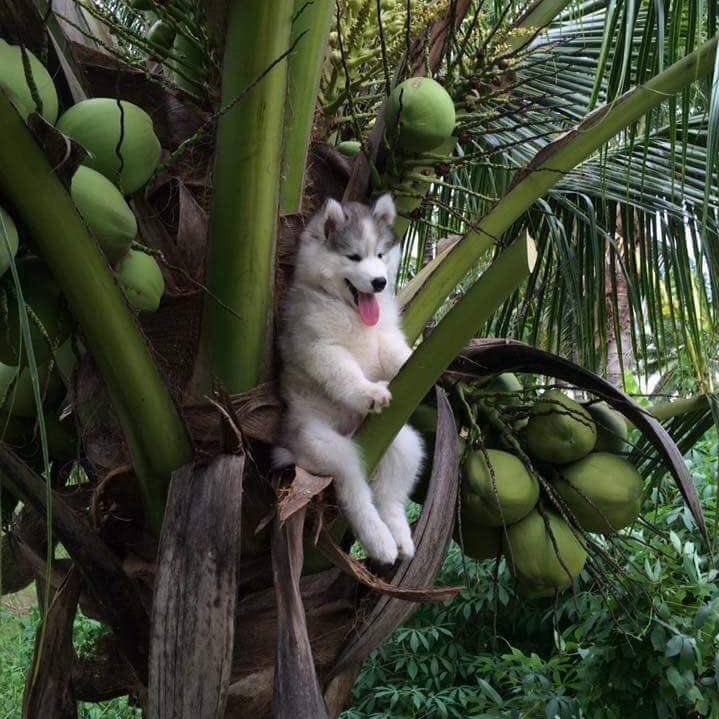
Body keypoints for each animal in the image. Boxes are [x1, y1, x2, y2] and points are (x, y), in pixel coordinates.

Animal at [274, 194, 422, 564]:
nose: (380, 283)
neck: (350, 312)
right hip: (323, 445)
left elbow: (395, 354)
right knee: (354, 491)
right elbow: (345, 372)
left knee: (390, 494)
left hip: (404, 442)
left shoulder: (385, 338)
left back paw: (400, 536)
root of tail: (355, 434)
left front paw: (413, 359)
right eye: (353, 256)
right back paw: (380, 540)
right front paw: (368, 391)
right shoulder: (320, 348)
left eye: (380, 255)